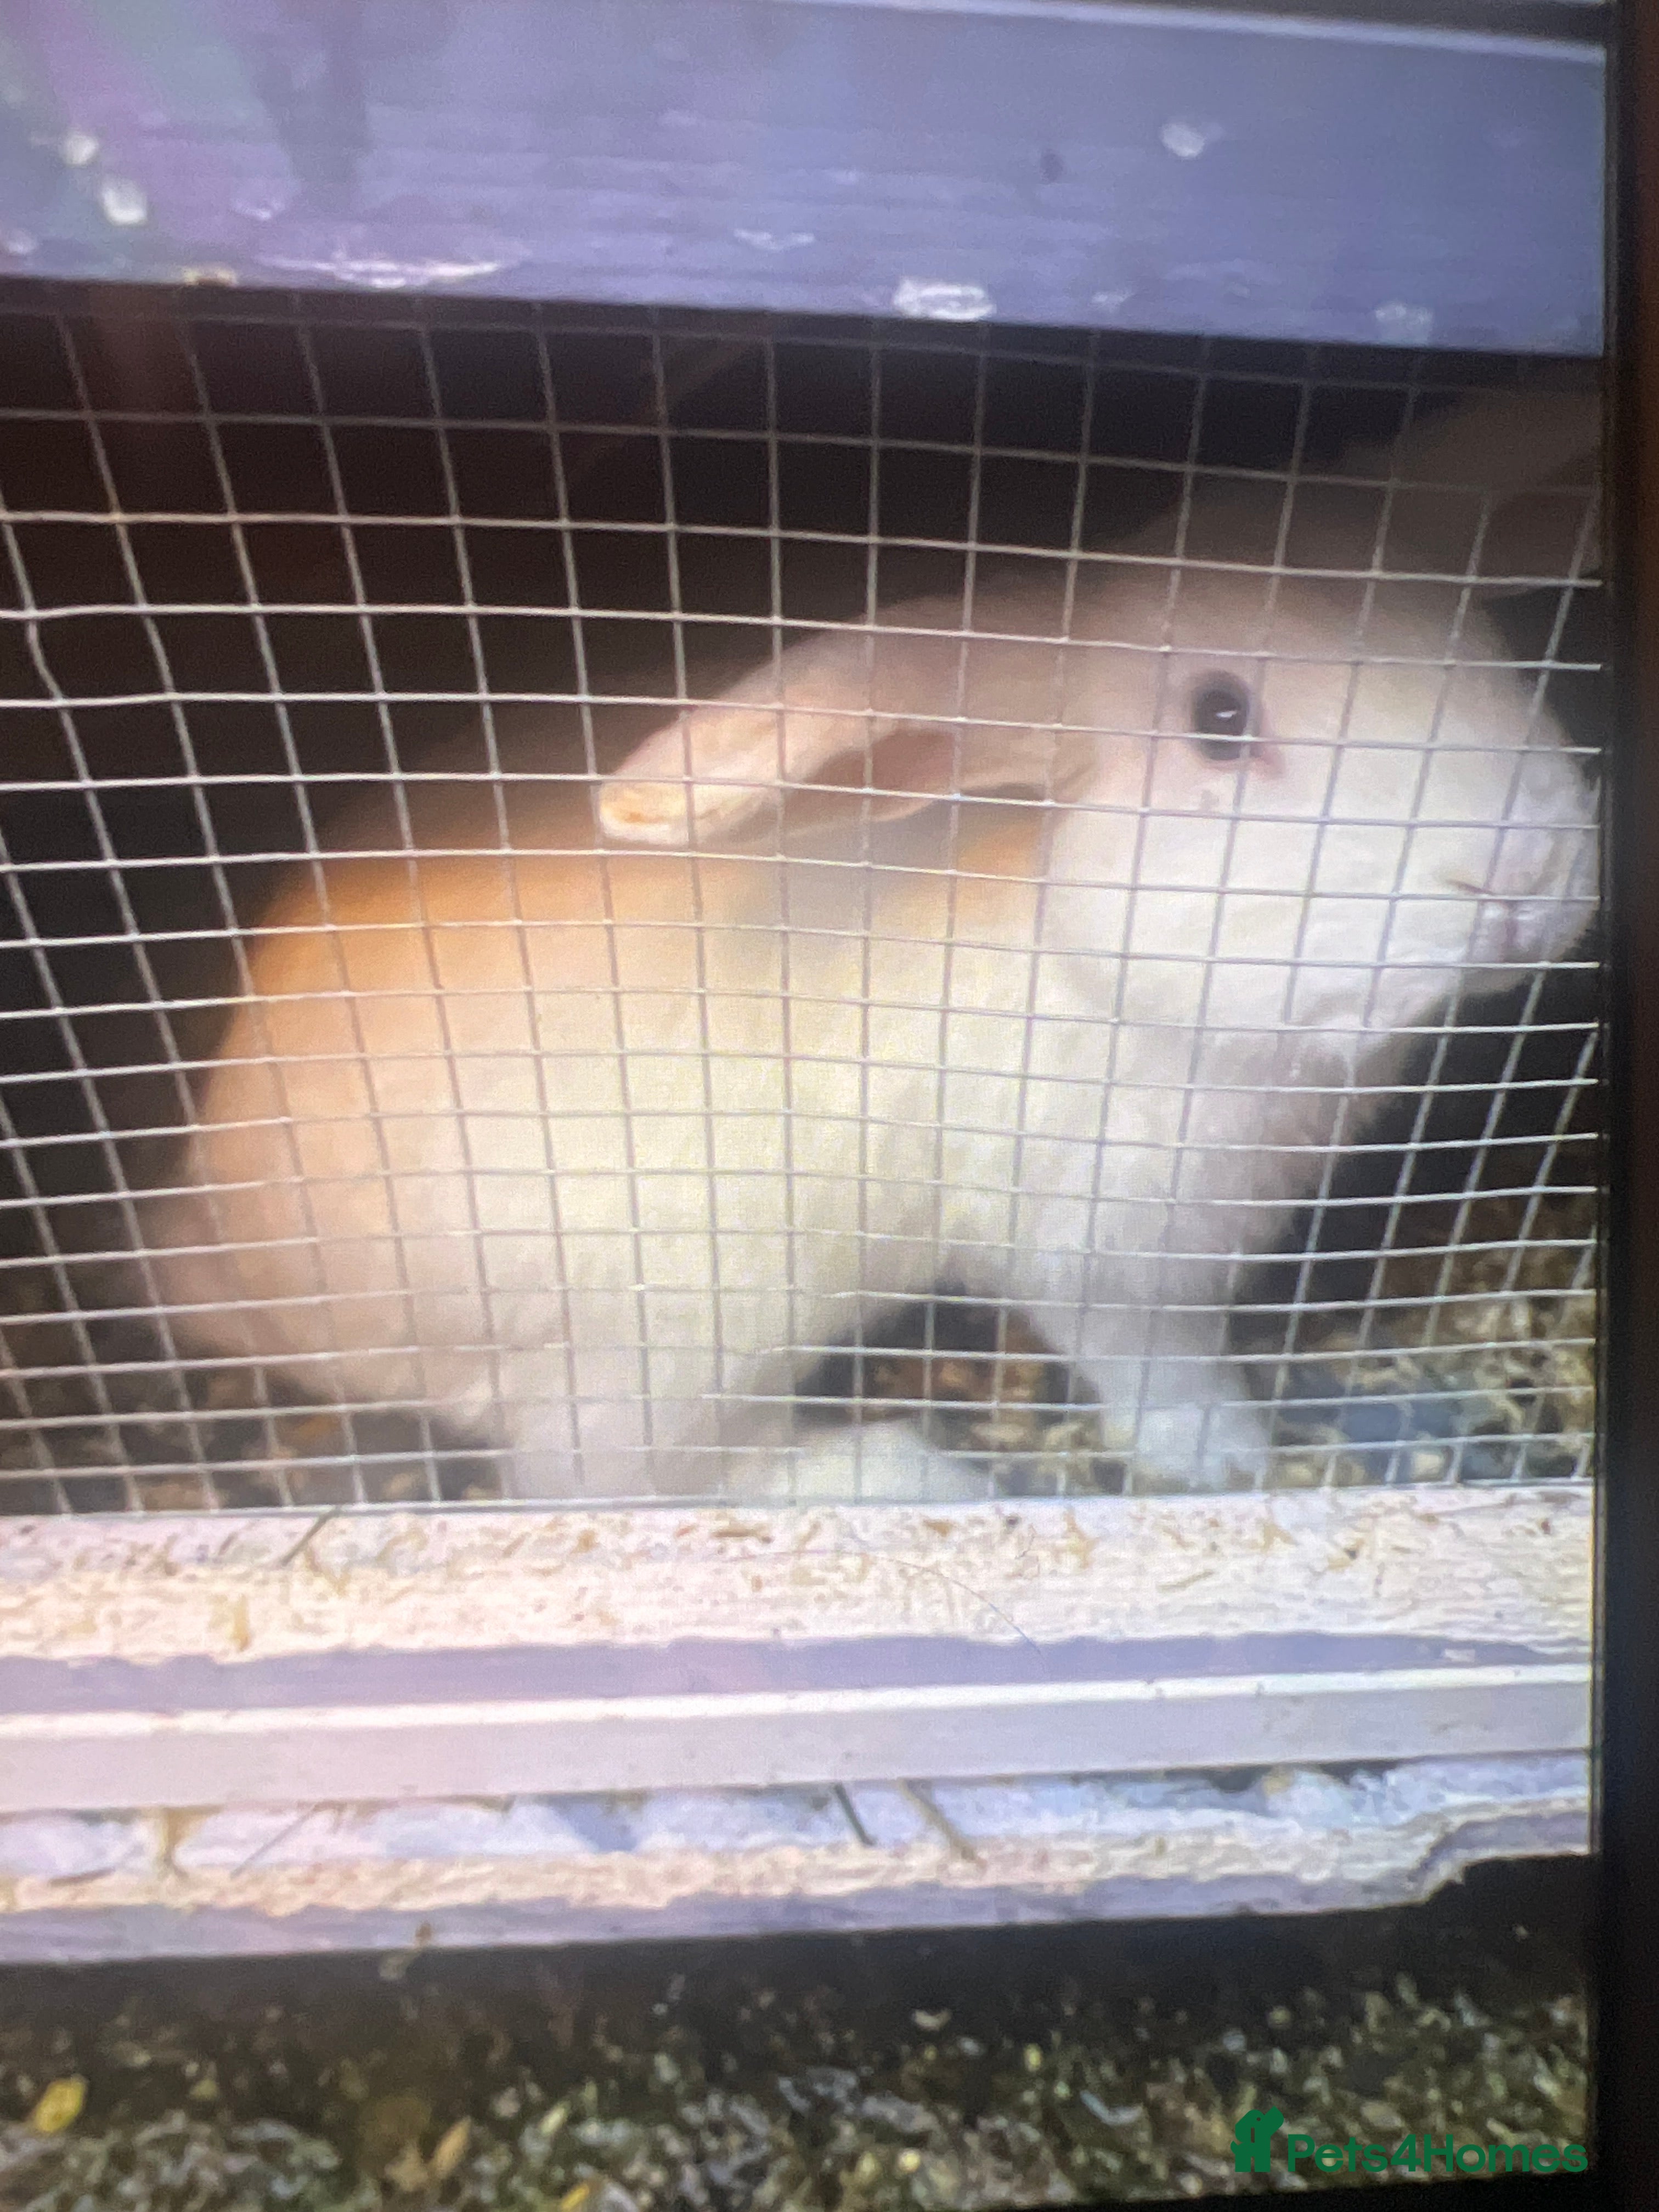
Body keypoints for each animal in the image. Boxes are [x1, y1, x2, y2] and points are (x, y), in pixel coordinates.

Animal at [149, 390, 1601, 1502]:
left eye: (1474, 631)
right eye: (1221, 717)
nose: (1523, 868)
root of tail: (230, 1258)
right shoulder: (1100, 1242)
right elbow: (1160, 1366)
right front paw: (1231, 1459)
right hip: (688, 1320)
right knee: (609, 1477)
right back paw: (898, 1469)